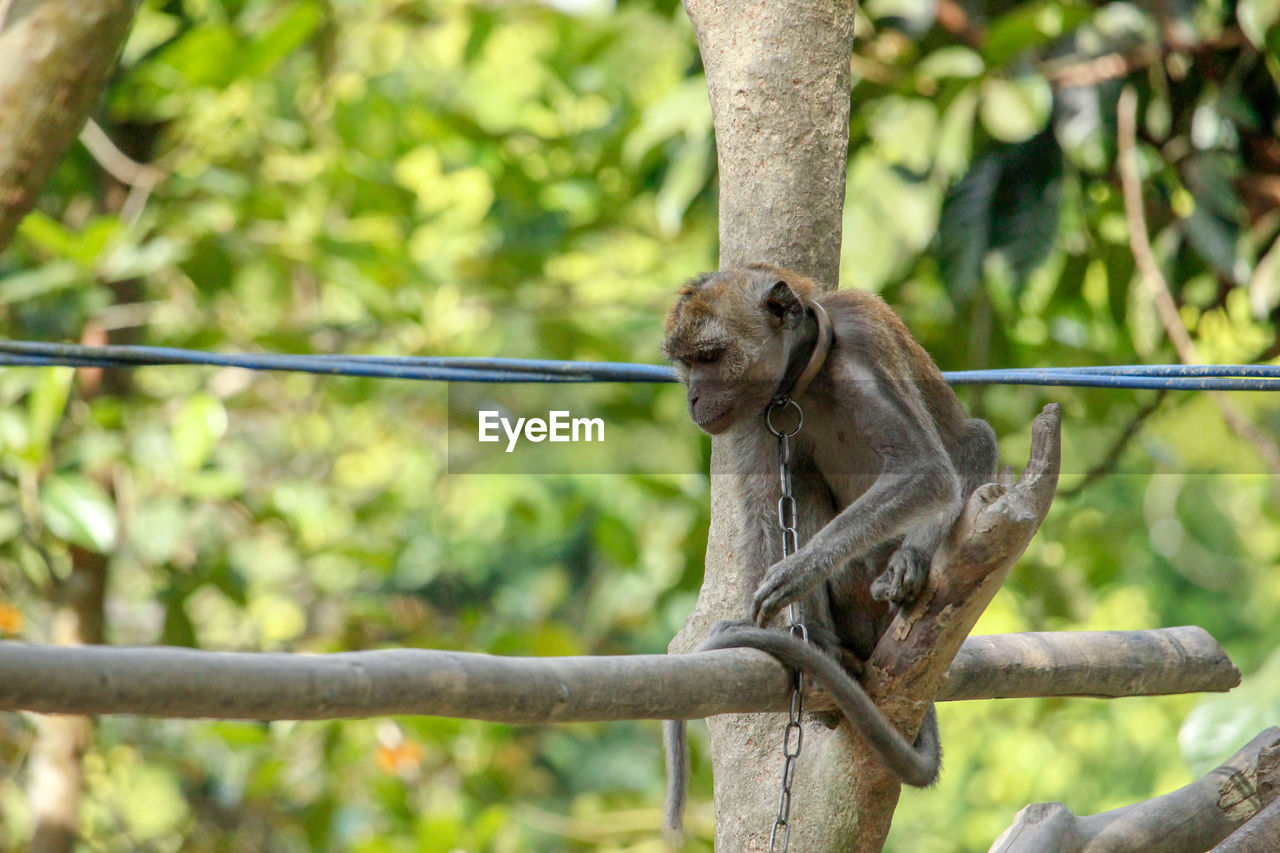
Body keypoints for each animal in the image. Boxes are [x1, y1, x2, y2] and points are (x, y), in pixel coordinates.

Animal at [660, 263, 998, 835]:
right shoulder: (757, 410)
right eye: (686, 364)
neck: (803, 378)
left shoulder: (857, 351)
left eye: (709, 357)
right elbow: (761, 509)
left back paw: (906, 566)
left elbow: (930, 467)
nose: (692, 400)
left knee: (971, 441)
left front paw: (797, 572)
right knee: (798, 479)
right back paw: (817, 641)